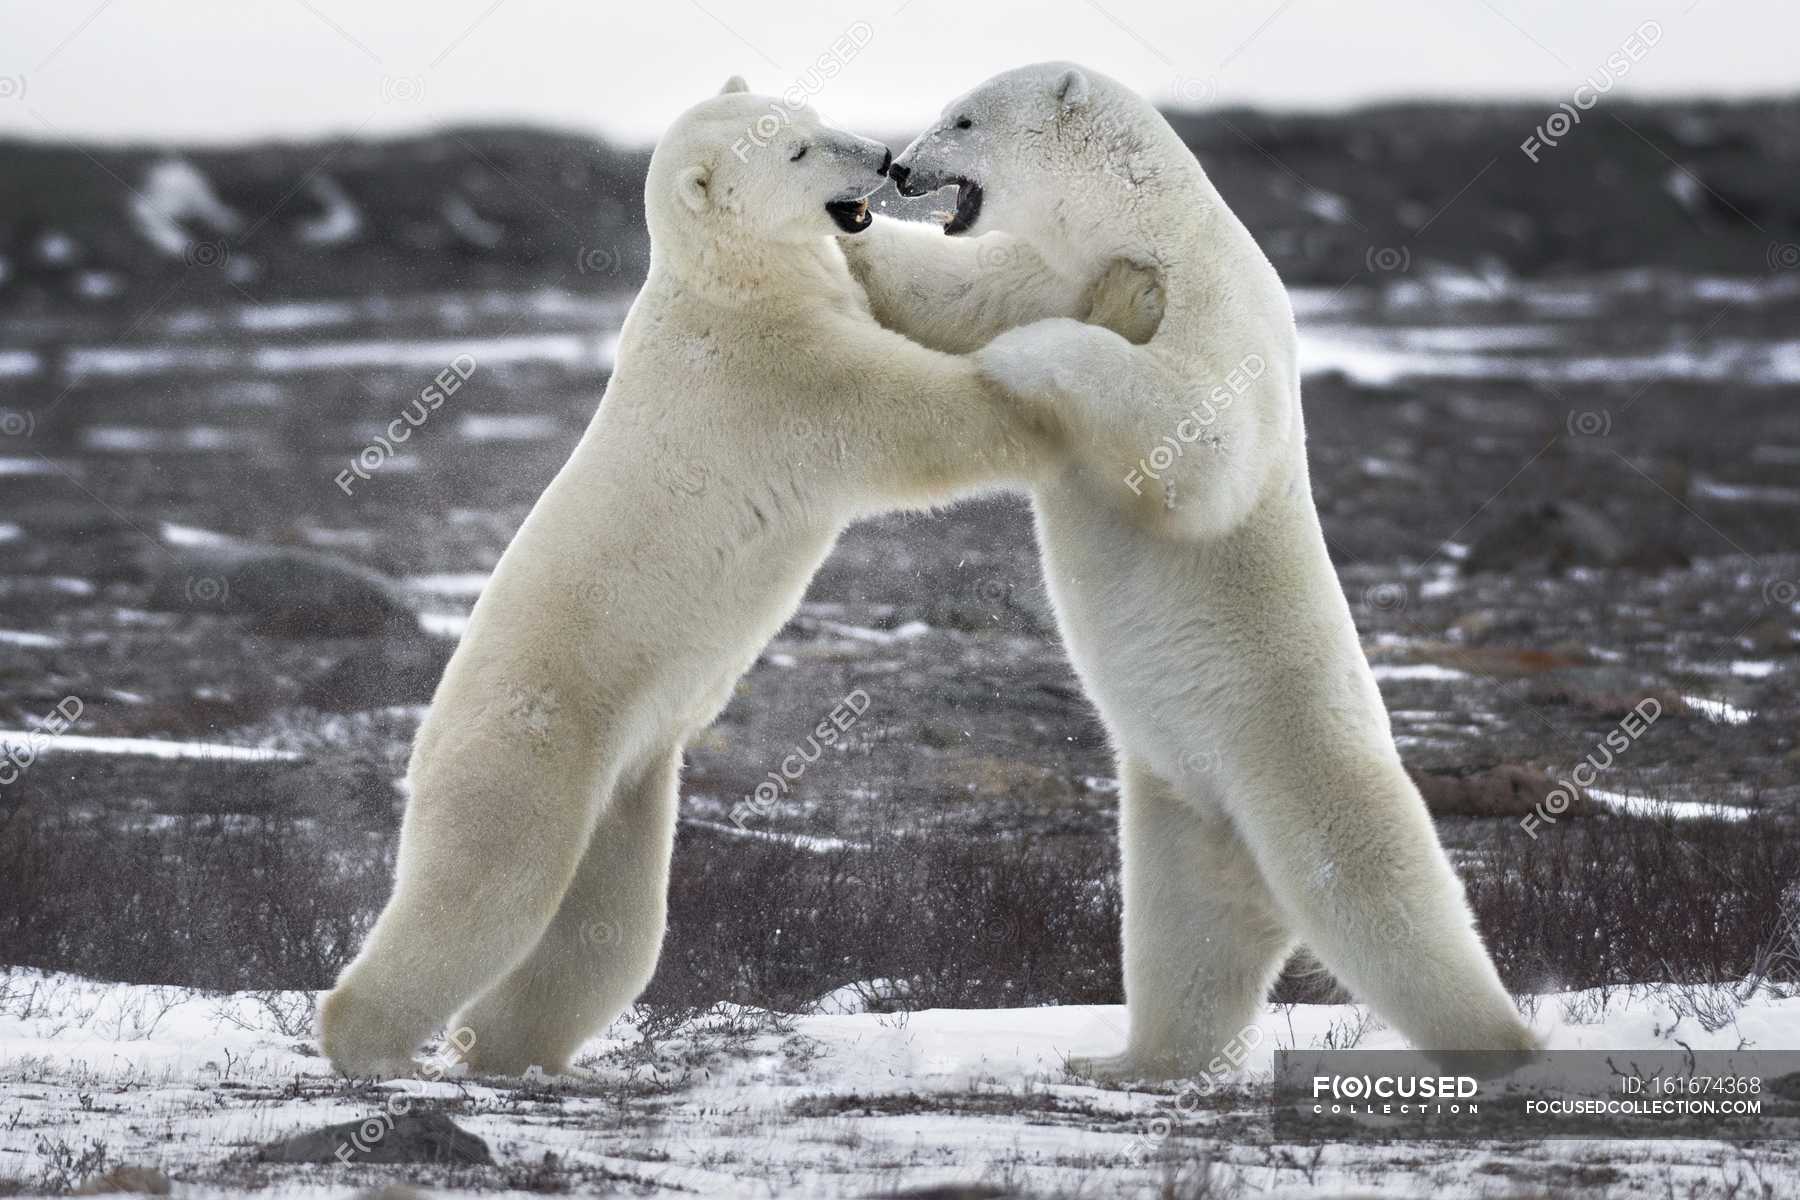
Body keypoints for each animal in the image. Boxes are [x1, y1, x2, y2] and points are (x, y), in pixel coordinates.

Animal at [320, 77, 1166, 1079]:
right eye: (796, 151)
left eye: (815, 116)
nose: (881, 157)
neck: (727, 283)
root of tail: (426, 737)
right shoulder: (784, 373)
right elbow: (938, 416)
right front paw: (1129, 294)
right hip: (529, 752)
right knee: (486, 894)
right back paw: (369, 1046)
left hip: (629, 781)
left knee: (608, 934)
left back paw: (513, 1051)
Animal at [842, 63, 1533, 1079]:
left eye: (963, 119)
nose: (898, 163)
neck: (1144, 224)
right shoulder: (1045, 268)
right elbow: (949, 294)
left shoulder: (1216, 299)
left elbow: (1199, 434)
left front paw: (1026, 355)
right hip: (1180, 799)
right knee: (1186, 930)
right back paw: (1131, 1061)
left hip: (1297, 748)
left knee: (1383, 898)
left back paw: (1501, 1044)